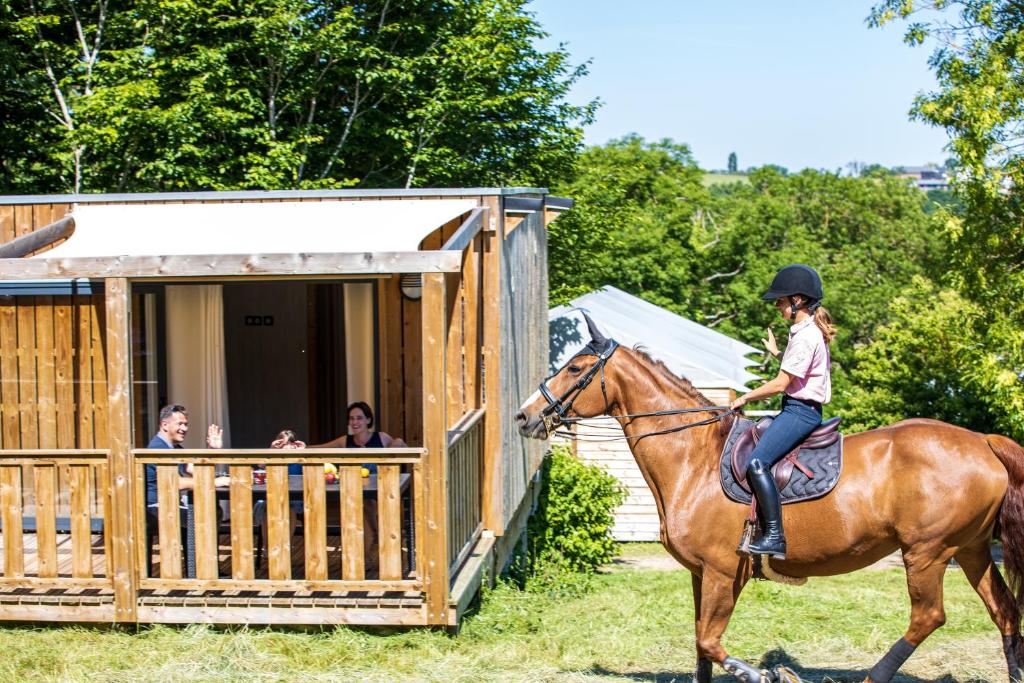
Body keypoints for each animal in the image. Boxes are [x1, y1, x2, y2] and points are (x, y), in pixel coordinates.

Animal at [516, 319, 1024, 683]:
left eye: (575, 369)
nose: (524, 417)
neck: (695, 458)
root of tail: (982, 441)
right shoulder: (701, 574)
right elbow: (700, 646)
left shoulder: (724, 572)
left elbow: (710, 642)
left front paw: (768, 674)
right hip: (970, 549)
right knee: (1004, 611)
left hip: (927, 552)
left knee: (928, 616)